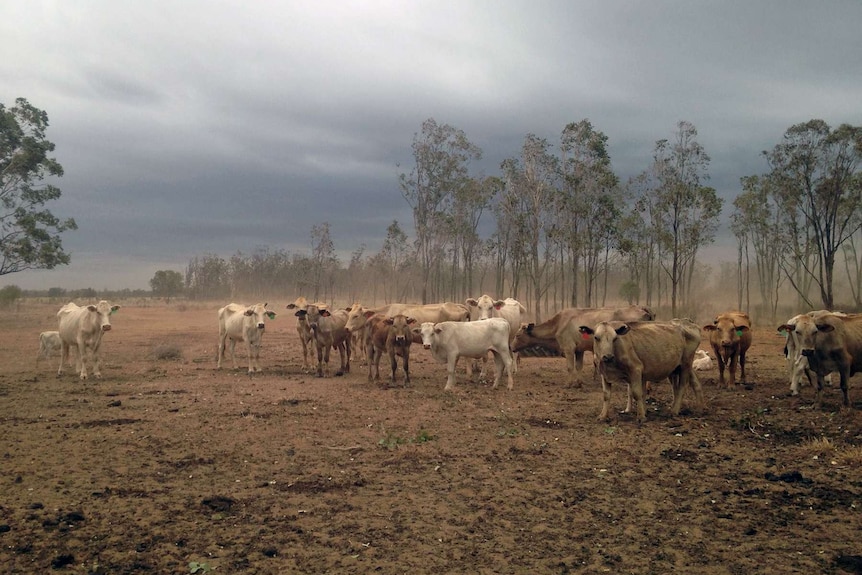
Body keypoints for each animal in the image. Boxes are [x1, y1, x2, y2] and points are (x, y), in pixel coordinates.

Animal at [512, 306, 656, 388]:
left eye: (518, 335)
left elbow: (570, 367)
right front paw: (579, 383)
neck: (558, 324)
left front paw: (569, 384)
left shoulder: (569, 348)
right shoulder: (579, 350)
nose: (511, 346)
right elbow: (579, 366)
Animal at [576, 318, 704, 426]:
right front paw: (603, 416)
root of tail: (687, 322)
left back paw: (674, 411)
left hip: (686, 363)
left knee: (682, 386)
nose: (608, 356)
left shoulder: (636, 369)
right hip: (680, 366)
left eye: (615, 338)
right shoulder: (604, 373)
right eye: (596, 337)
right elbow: (606, 395)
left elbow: (637, 393)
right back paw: (699, 408)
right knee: (694, 384)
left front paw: (641, 416)